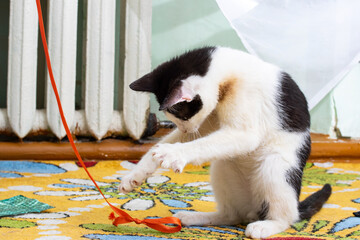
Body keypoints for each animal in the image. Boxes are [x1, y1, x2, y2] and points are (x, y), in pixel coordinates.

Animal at [118, 46, 332, 238]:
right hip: (224, 167)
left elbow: (210, 141)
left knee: (287, 216)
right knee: (231, 215)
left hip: (274, 165)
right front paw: (134, 175)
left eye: (183, 115)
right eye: (179, 119)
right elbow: (177, 142)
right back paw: (197, 217)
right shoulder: (207, 121)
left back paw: (267, 226)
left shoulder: (244, 124)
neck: (229, 75)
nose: (185, 129)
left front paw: (173, 153)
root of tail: (254, 211)